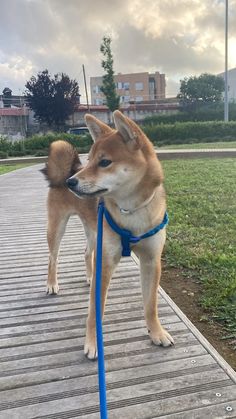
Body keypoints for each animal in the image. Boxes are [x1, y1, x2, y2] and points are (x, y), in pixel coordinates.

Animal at [42, 111, 173, 360]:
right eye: (90, 160)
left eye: (104, 162)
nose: (71, 182)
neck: (132, 211)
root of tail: (67, 170)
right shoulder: (107, 260)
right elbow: (95, 311)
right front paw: (93, 343)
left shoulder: (151, 260)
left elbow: (150, 304)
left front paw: (156, 333)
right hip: (57, 227)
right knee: (53, 258)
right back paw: (52, 284)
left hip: (94, 232)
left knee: (86, 253)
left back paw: (89, 276)